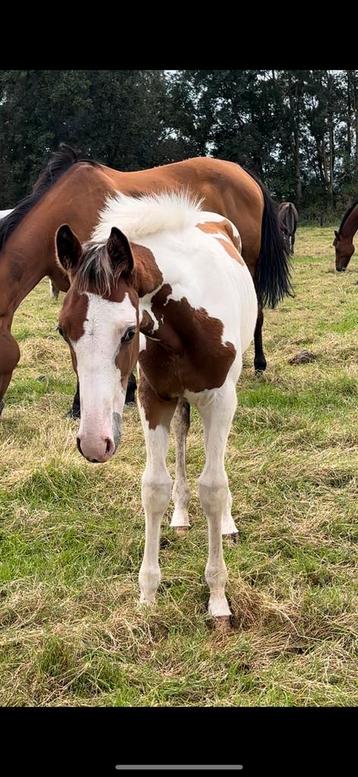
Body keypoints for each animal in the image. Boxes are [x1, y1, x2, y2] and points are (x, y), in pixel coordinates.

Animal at [0, 142, 290, 416]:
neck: (68, 207)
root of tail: (243, 173)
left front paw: (80, 405)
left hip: (248, 264)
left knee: (257, 313)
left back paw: (259, 365)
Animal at [55, 194, 258, 624]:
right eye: (63, 331)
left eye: (129, 332)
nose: (94, 443)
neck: (185, 323)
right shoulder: (154, 398)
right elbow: (154, 488)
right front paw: (147, 594)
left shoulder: (220, 399)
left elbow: (214, 488)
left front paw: (218, 598)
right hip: (177, 401)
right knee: (182, 436)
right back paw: (180, 518)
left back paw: (227, 525)